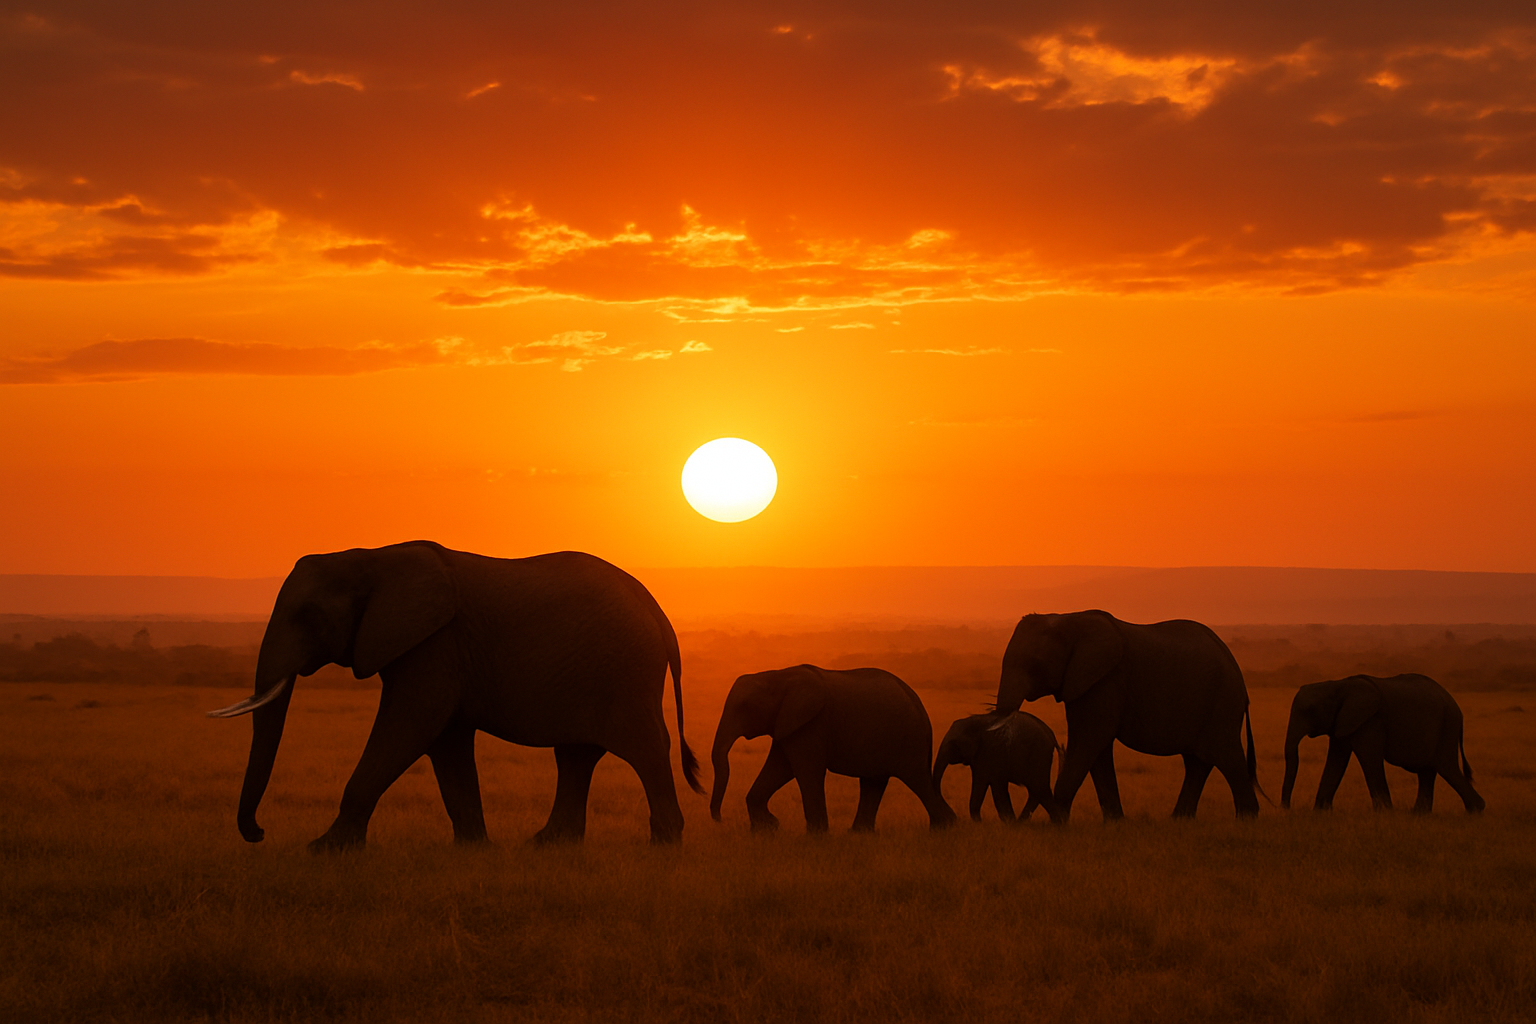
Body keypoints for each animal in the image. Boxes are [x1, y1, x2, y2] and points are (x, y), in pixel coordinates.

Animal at [207, 541, 703, 849]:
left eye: (308, 615)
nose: (259, 833)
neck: (371, 555)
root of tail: (658, 611)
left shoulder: (434, 644)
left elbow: (410, 726)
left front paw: (323, 849)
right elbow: (445, 742)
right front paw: (474, 850)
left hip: (625, 671)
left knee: (643, 749)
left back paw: (664, 845)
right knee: (576, 755)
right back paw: (545, 846)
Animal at [709, 665, 957, 833]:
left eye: (743, 707)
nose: (720, 819)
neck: (777, 676)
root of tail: (917, 701)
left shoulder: (810, 723)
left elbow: (806, 772)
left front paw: (816, 837)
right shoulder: (788, 724)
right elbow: (779, 769)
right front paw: (768, 829)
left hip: (908, 738)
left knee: (917, 780)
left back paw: (943, 829)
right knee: (874, 782)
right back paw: (859, 834)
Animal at [932, 711, 1065, 823]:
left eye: (953, 744)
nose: (953, 816)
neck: (975, 722)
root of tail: (1050, 734)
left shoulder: (989, 752)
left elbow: (989, 784)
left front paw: (1006, 823)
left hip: (1039, 752)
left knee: (1039, 789)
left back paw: (1057, 824)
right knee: (1036, 790)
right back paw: (1023, 822)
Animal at [995, 610, 1263, 821]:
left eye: (1034, 665)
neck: (1067, 619)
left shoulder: (1105, 679)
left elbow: (1090, 740)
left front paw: (1059, 820)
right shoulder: (1088, 682)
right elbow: (1097, 748)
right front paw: (1115, 823)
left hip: (1221, 705)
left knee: (1226, 756)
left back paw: (1246, 820)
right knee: (1198, 763)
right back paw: (1180, 820)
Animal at [1281, 674, 1484, 813]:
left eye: (1309, 710)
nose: (1287, 809)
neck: (1338, 684)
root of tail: (1457, 707)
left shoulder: (1370, 720)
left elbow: (1370, 760)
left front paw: (1386, 814)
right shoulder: (1343, 722)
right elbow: (1336, 761)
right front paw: (1320, 813)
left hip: (1447, 726)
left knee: (1446, 767)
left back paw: (1475, 811)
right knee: (1428, 771)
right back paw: (1419, 815)